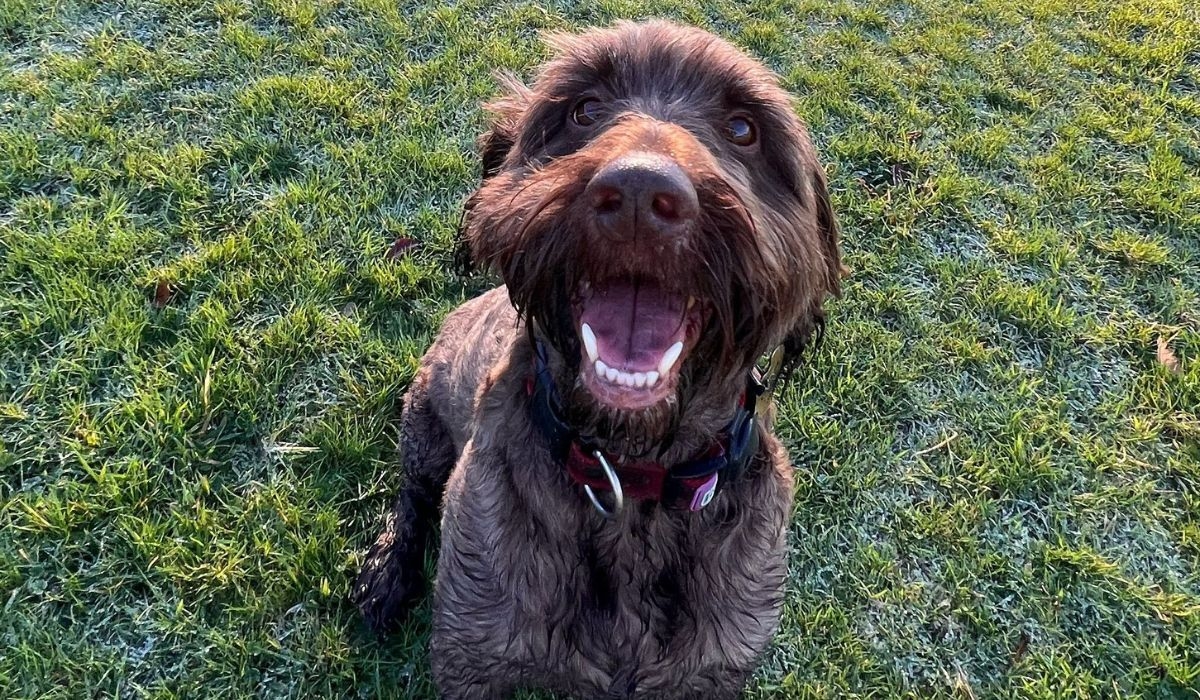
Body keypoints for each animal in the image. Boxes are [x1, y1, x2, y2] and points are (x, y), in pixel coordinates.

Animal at [352, 20, 844, 700]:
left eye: (745, 129)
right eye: (583, 109)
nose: (640, 193)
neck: (629, 477)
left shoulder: (712, 671)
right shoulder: (470, 654)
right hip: (424, 428)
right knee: (413, 500)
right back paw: (386, 573)